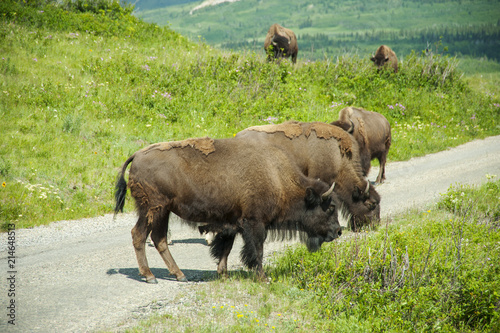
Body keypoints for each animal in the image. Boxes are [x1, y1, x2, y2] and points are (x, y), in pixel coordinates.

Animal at [114, 136, 342, 282]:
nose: (338, 231)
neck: (277, 177)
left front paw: (222, 273)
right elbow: (256, 251)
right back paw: (150, 276)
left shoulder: (231, 224)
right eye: (330, 207)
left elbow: (226, 248)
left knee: (159, 238)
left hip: (163, 211)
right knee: (139, 235)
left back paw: (180, 275)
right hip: (152, 209)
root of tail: (137, 155)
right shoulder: (254, 224)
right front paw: (263, 278)